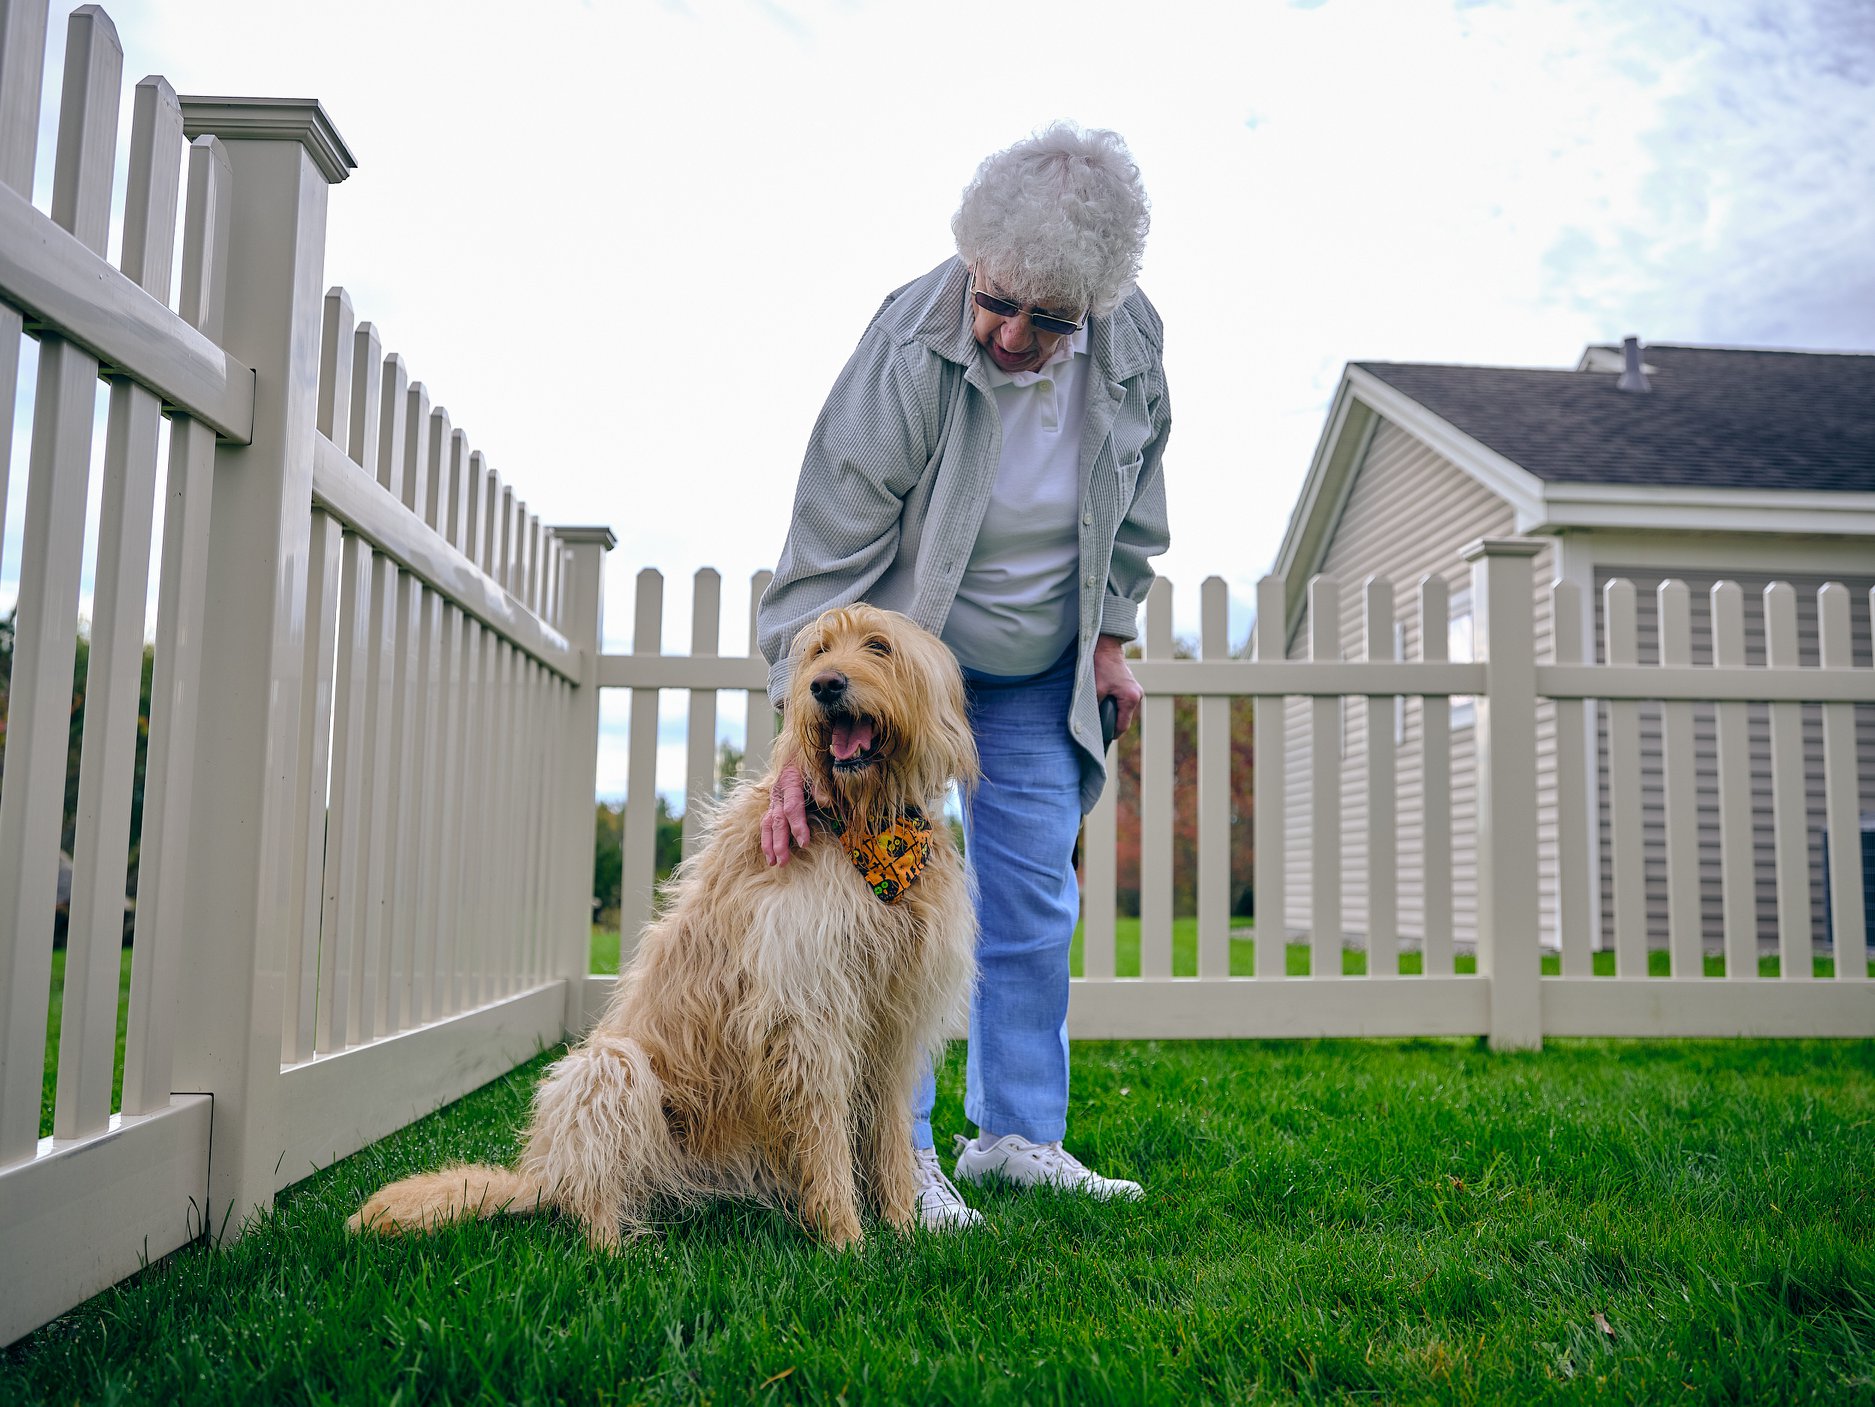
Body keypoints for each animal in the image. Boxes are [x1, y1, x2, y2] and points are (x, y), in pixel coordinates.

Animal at [348, 600, 982, 1253]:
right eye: (817, 651)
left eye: (879, 646)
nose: (824, 686)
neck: (867, 829)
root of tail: (541, 1173)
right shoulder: (806, 1016)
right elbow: (825, 1137)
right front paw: (846, 1241)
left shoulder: (892, 1028)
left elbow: (889, 1138)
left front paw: (902, 1227)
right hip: (609, 1069)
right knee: (588, 1194)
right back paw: (617, 1250)